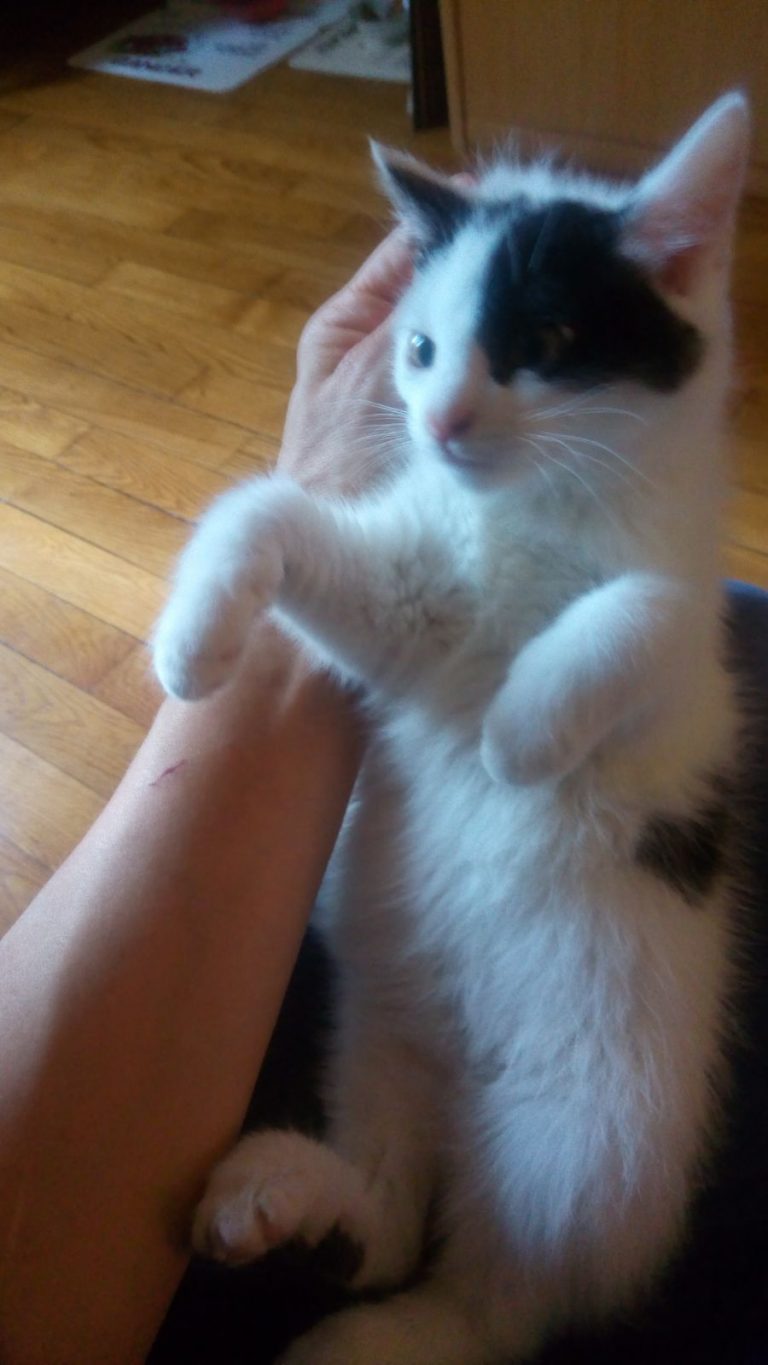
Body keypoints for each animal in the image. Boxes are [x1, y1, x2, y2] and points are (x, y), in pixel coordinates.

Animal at [152, 93, 749, 1364]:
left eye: (548, 336)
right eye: (419, 351)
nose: (439, 420)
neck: (527, 508)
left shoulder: (688, 670)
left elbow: (644, 612)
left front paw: (521, 734)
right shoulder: (412, 611)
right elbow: (267, 508)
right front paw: (195, 643)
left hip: (597, 1121)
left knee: (501, 1300)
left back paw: (386, 1329)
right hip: (377, 1033)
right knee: (389, 1223)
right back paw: (300, 1205)